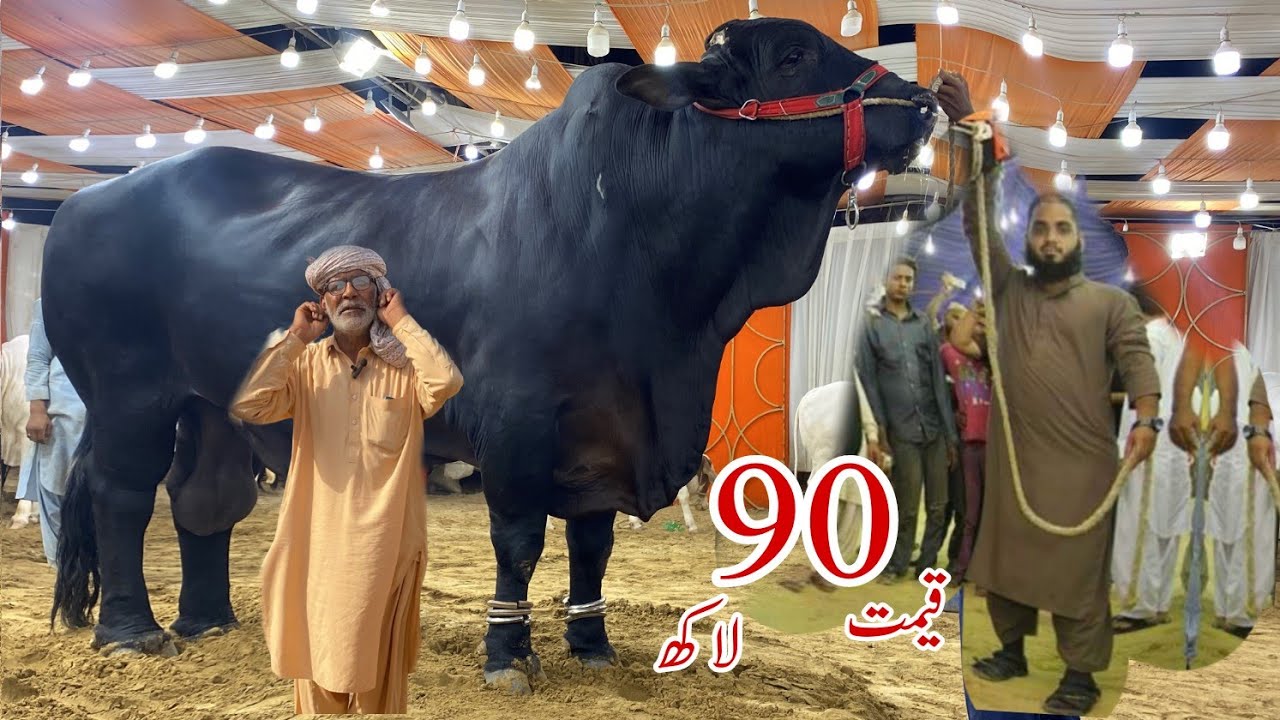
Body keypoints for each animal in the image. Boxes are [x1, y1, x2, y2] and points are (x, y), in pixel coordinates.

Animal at [45, 18, 936, 694]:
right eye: (792, 56)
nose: (925, 101)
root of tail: (85, 202)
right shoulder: (517, 425)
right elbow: (521, 542)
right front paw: (508, 655)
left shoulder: (602, 433)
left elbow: (592, 546)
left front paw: (591, 644)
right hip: (129, 396)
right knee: (123, 495)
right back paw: (131, 630)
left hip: (211, 408)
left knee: (204, 499)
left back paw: (210, 622)